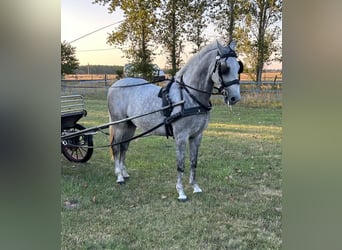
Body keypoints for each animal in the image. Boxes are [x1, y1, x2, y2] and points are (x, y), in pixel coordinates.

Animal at [107, 41, 243, 201]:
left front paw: (195, 187)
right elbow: (181, 164)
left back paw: (124, 173)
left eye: (238, 67)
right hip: (119, 125)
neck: (189, 96)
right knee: (116, 147)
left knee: (124, 147)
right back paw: (119, 176)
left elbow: (193, 162)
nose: (235, 98)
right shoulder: (181, 136)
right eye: (224, 68)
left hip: (130, 126)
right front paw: (181, 192)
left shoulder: (197, 136)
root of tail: (115, 85)